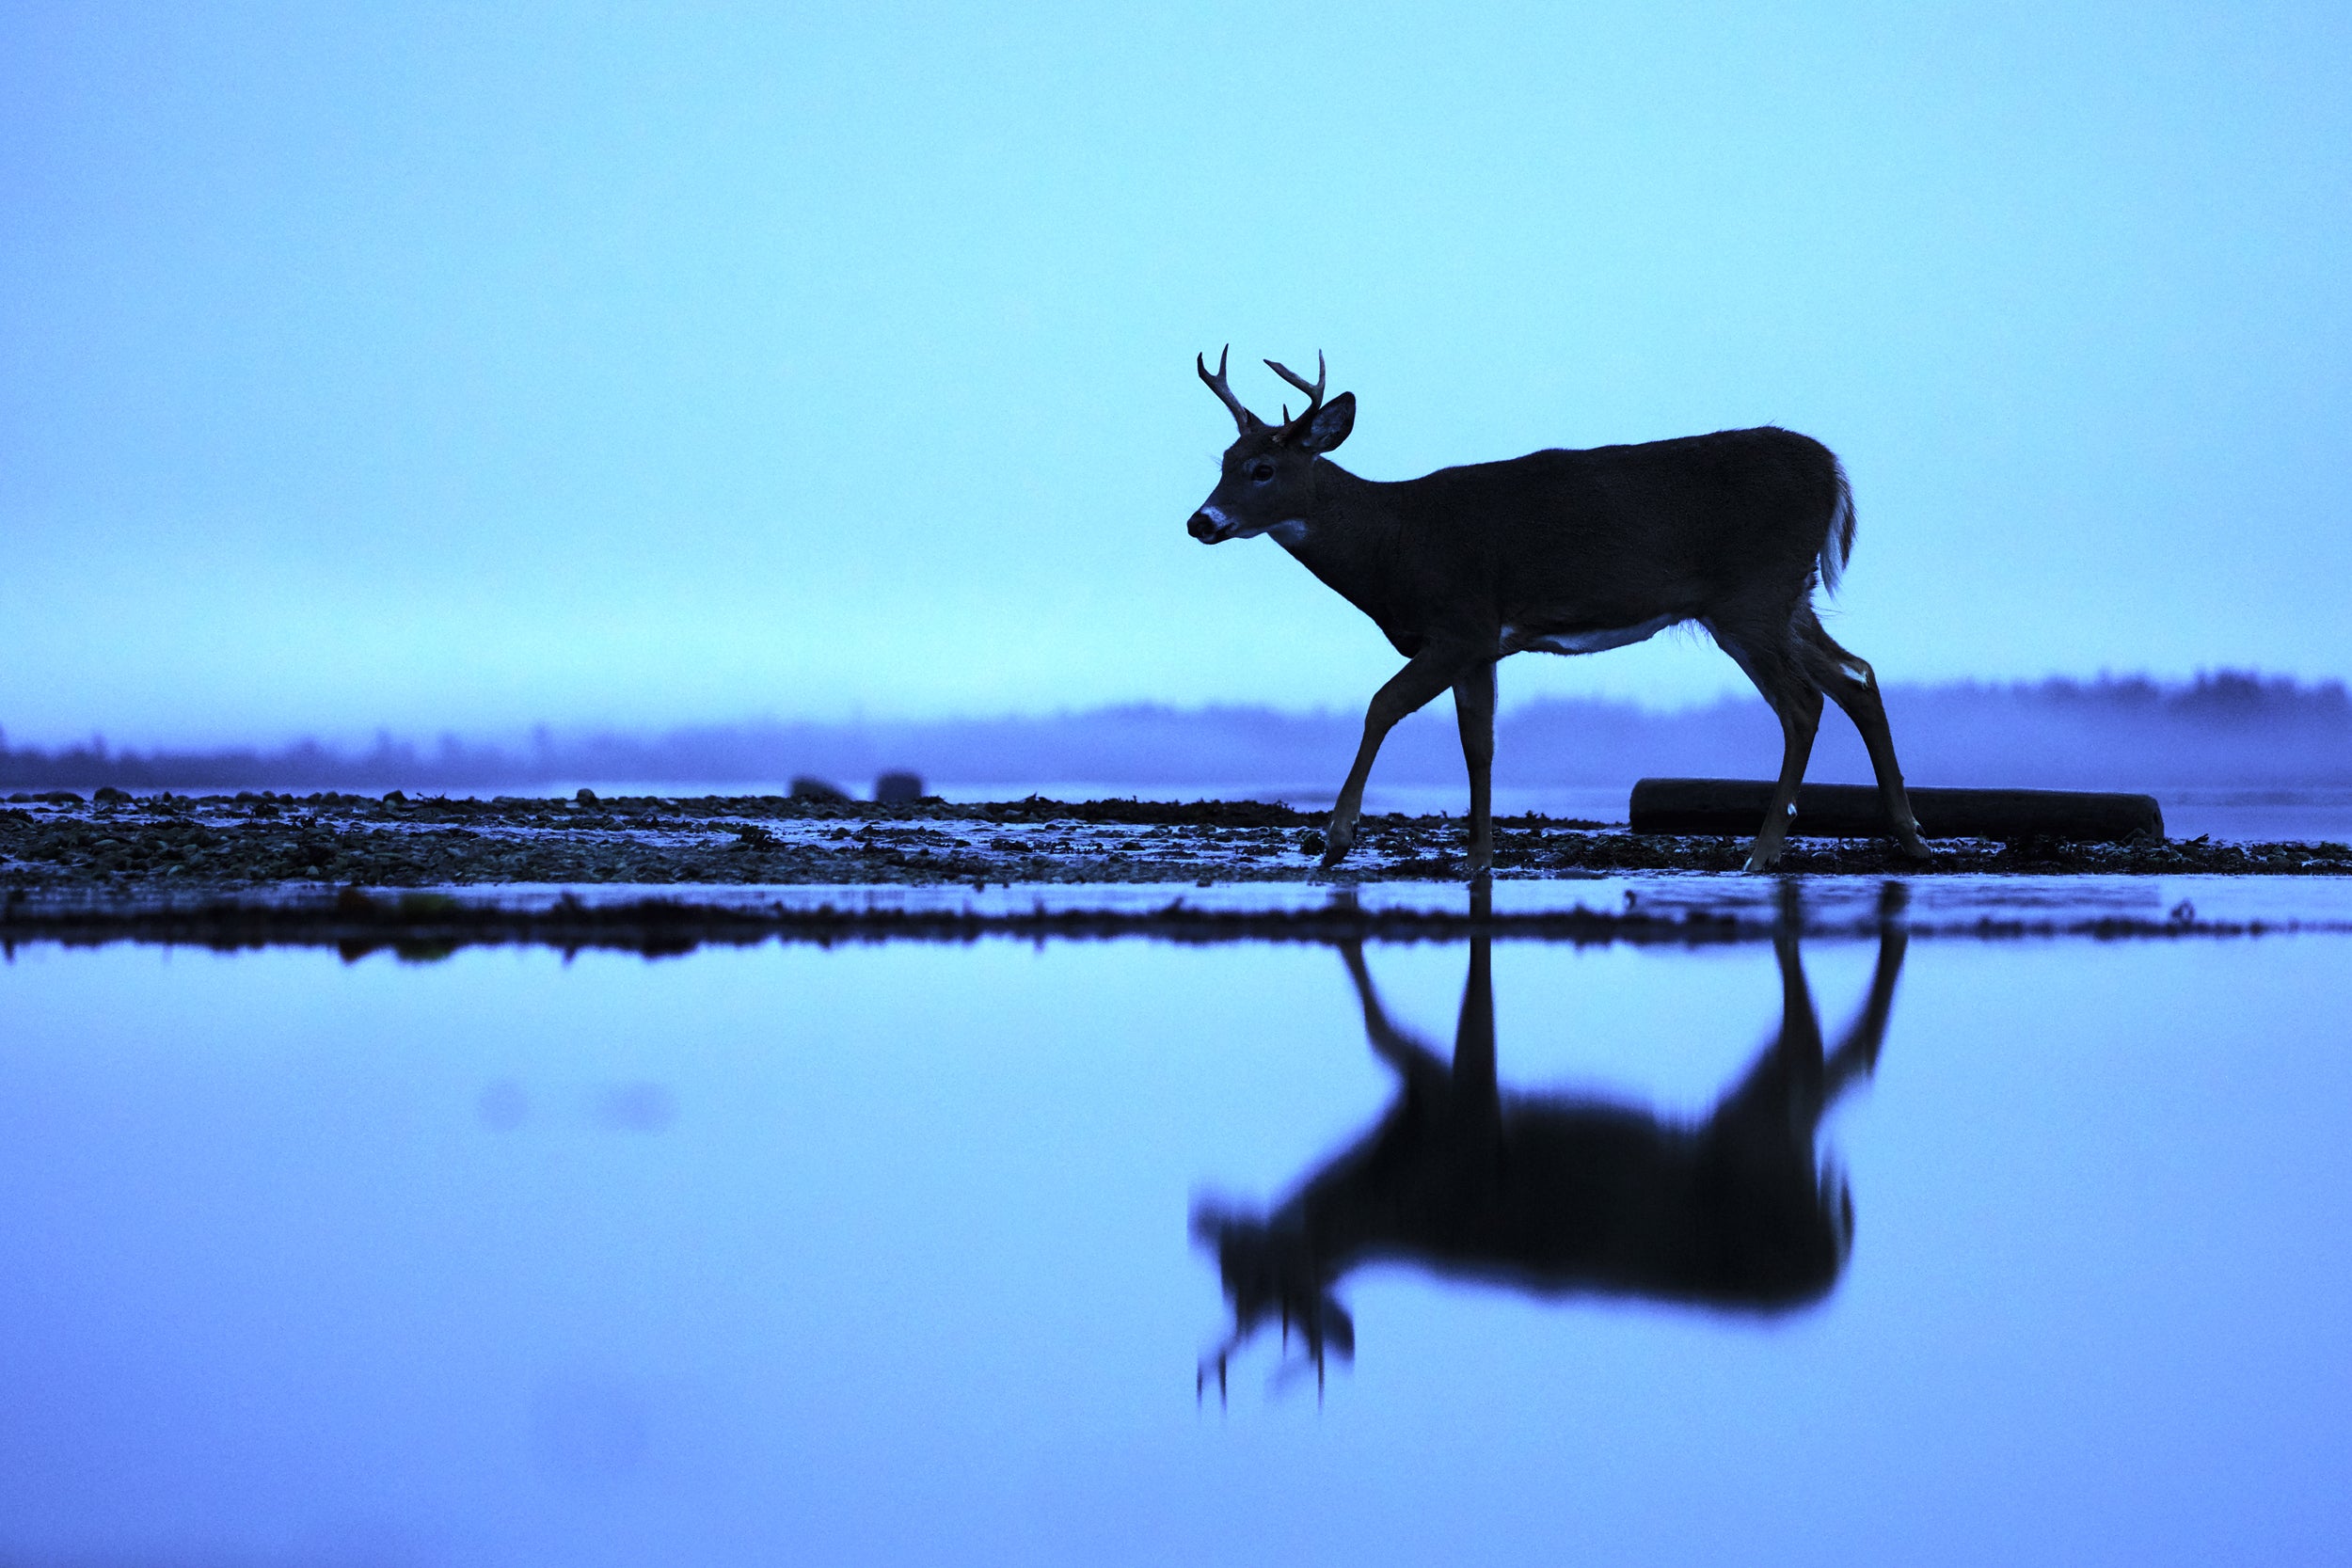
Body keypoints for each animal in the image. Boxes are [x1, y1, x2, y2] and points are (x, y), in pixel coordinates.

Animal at [1187, 349, 1932, 874]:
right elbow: (1479, 743)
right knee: (1859, 676)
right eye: (1222, 459)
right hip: (1790, 597)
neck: (1394, 543)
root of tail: (1833, 470)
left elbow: (1382, 706)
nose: (1200, 521)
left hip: (1752, 596)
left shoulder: (1459, 622)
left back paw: (1763, 851)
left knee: (1804, 703)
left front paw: (1337, 840)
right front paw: (1479, 858)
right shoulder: (1482, 643)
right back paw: (1910, 837)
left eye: (1263, 470)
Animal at [1192, 902, 1906, 1398]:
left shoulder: (1466, 1112)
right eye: (1229, 1285)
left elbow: (1383, 1028)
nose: (1210, 1228)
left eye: (1263, 1281)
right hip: (1761, 1132)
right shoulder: (1435, 1105)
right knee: (1837, 1075)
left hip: (1758, 1145)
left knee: (1829, 1061)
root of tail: (1832, 1259)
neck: (1388, 1180)